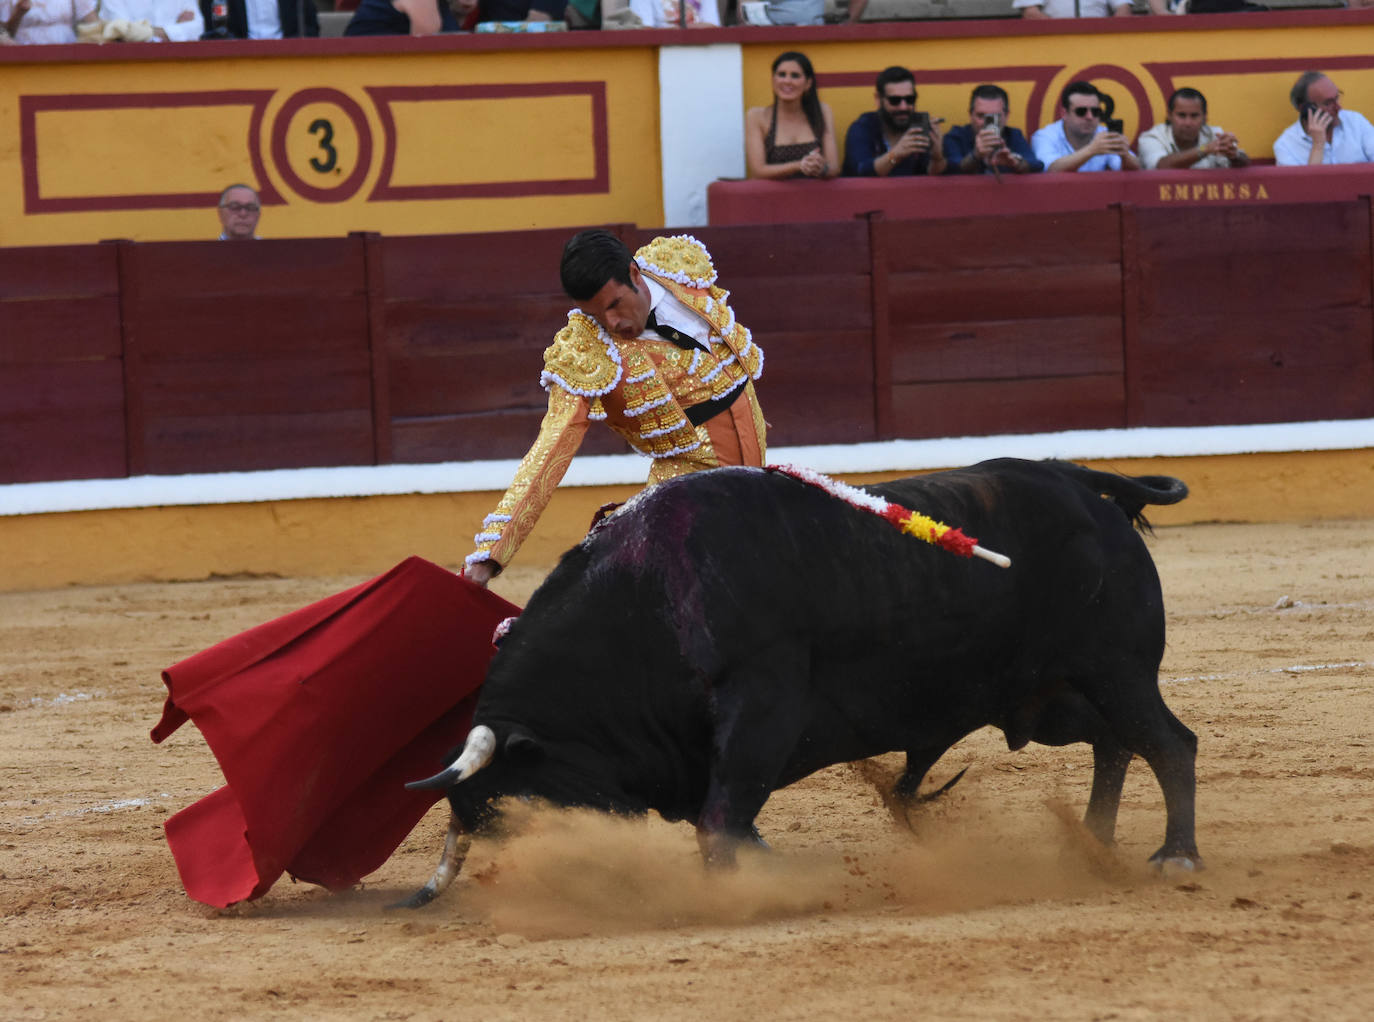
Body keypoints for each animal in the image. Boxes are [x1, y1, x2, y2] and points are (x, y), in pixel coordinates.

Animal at [401, 458, 1203, 906]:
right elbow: (723, 815)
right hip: (1045, 697)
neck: (647, 599)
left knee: (1169, 742)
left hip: (1117, 668)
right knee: (1114, 741)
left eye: (520, 804)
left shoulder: (761, 699)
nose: (569, 875)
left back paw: (1175, 858)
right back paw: (1091, 849)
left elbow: (723, 815)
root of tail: (1084, 483)